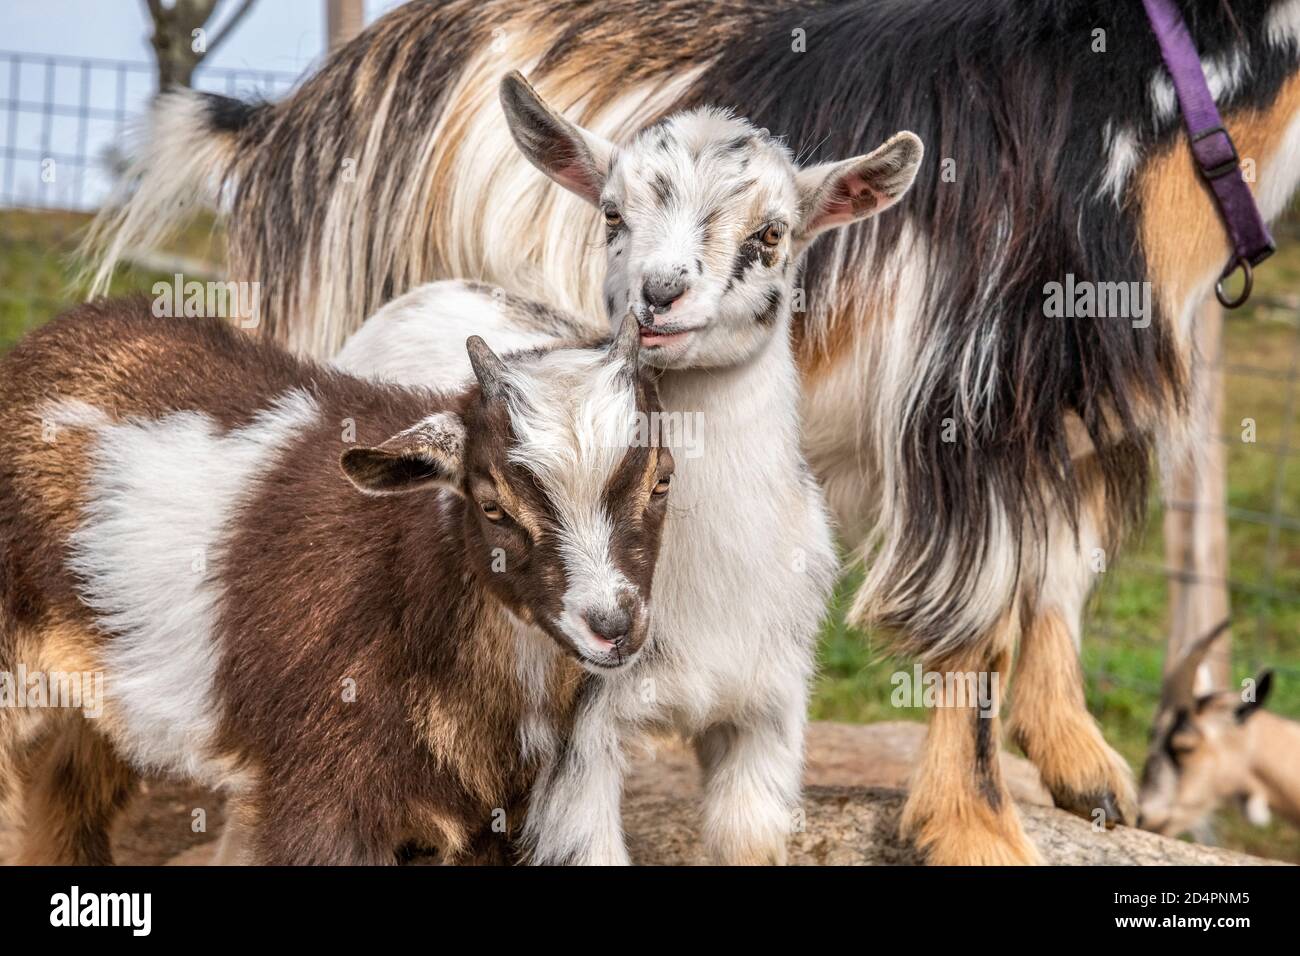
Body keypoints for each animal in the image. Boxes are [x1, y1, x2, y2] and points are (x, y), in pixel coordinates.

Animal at [0, 299, 670, 868]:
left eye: (661, 480)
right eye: (492, 505)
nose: (612, 626)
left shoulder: (504, 819)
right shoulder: (320, 805)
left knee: (65, 784)